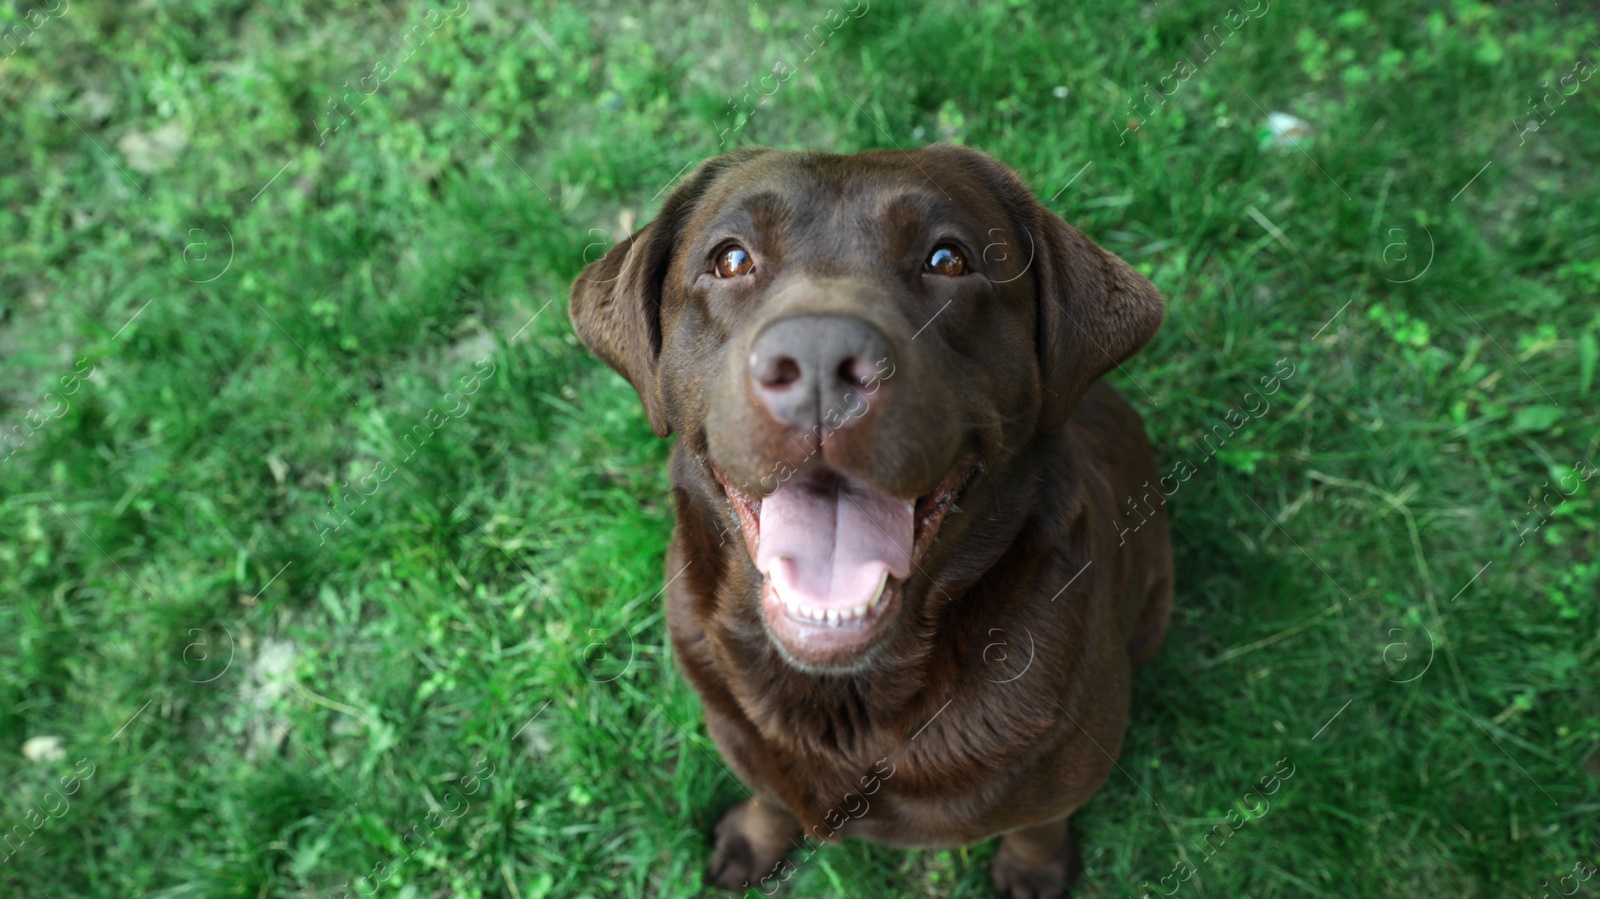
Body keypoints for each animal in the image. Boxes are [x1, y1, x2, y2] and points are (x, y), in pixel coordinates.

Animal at [569, 143, 1171, 889]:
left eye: (948, 259)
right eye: (731, 260)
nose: (821, 358)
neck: (845, 697)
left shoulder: (1071, 760)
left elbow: (1038, 821)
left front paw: (1034, 868)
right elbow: (771, 793)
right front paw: (753, 841)